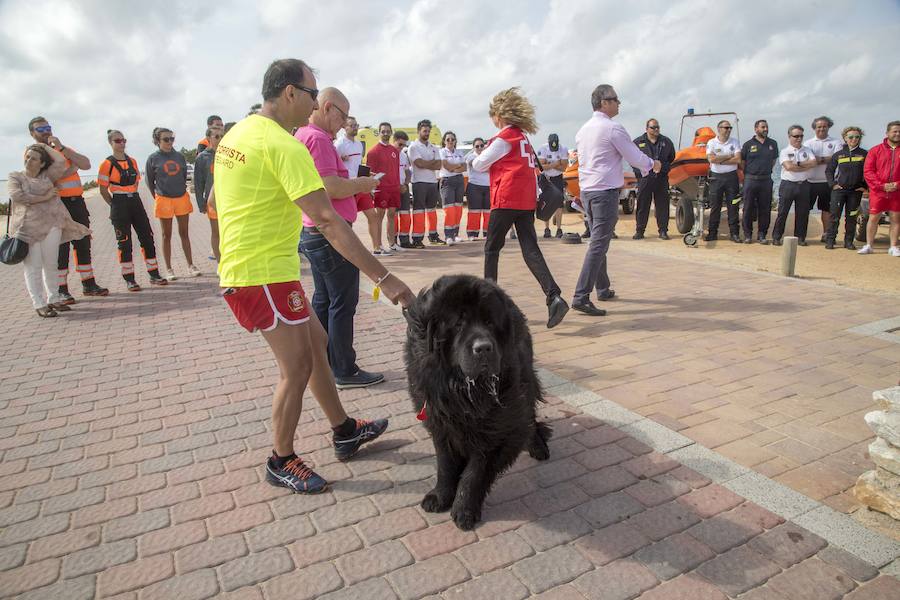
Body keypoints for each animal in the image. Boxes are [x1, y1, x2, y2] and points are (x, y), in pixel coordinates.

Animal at [406, 274, 548, 528]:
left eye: (490, 323)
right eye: (458, 324)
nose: (483, 348)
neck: (462, 390)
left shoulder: (500, 430)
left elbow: (476, 472)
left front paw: (464, 509)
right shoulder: (440, 424)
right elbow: (445, 465)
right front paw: (440, 496)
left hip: (526, 382)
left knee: (530, 417)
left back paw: (537, 445)